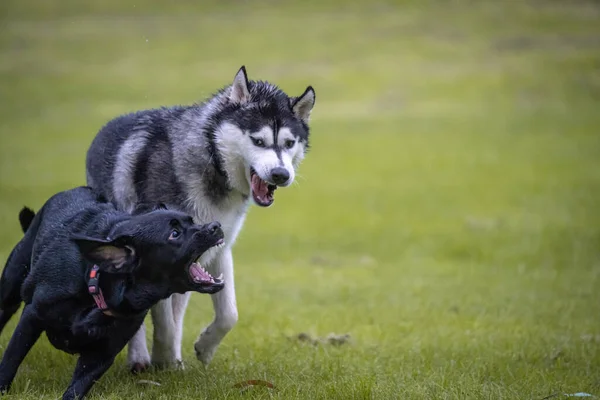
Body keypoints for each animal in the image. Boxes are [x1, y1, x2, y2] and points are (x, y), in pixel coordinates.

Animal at [0, 186, 225, 398]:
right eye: (174, 234)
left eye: (192, 221)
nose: (216, 226)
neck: (97, 283)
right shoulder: (32, 317)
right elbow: (11, 360)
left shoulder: (101, 355)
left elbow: (76, 390)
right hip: (10, 290)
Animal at [86, 66, 316, 372]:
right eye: (258, 141)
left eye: (289, 143)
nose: (281, 174)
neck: (212, 161)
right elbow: (162, 320)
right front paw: (164, 357)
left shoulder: (219, 246)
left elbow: (229, 314)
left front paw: (204, 348)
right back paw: (140, 359)